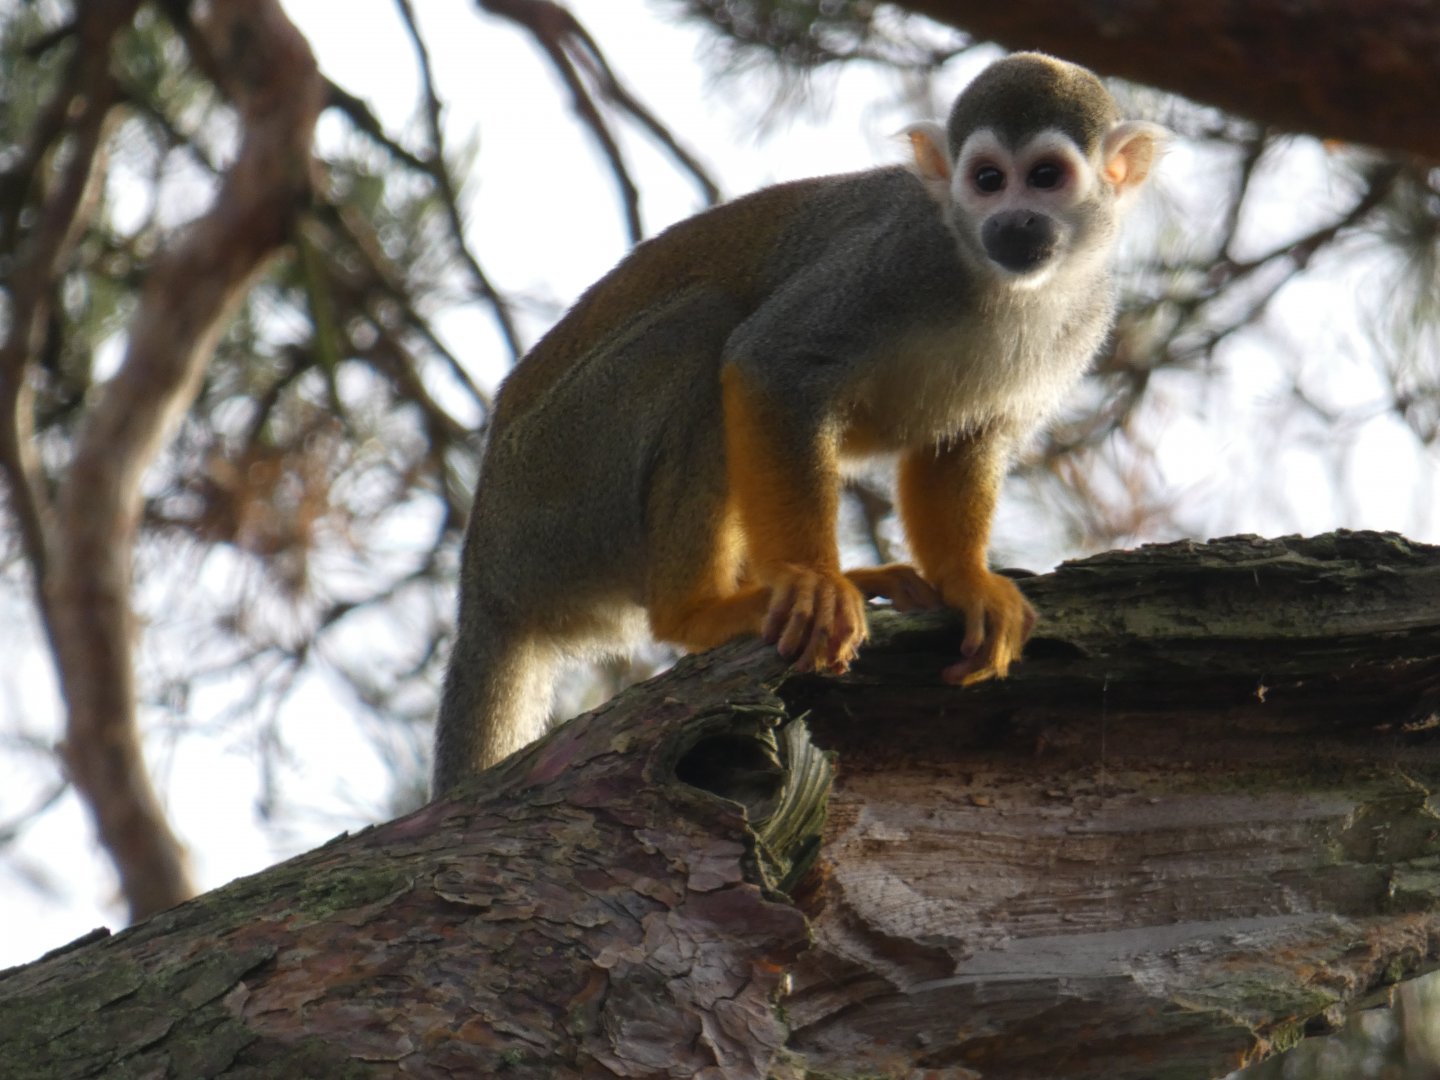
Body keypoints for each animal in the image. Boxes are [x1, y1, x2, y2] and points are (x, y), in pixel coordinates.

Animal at [432, 52, 1166, 795]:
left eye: (1045, 177)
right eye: (988, 180)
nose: (1014, 223)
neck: (996, 281)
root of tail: (482, 573)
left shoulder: (1085, 319)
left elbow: (967, 440)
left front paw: (966, 581)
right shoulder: (893, 256)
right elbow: (772, 364)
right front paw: (815, 583)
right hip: (553, 498)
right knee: (703, 327)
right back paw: (698, 611)